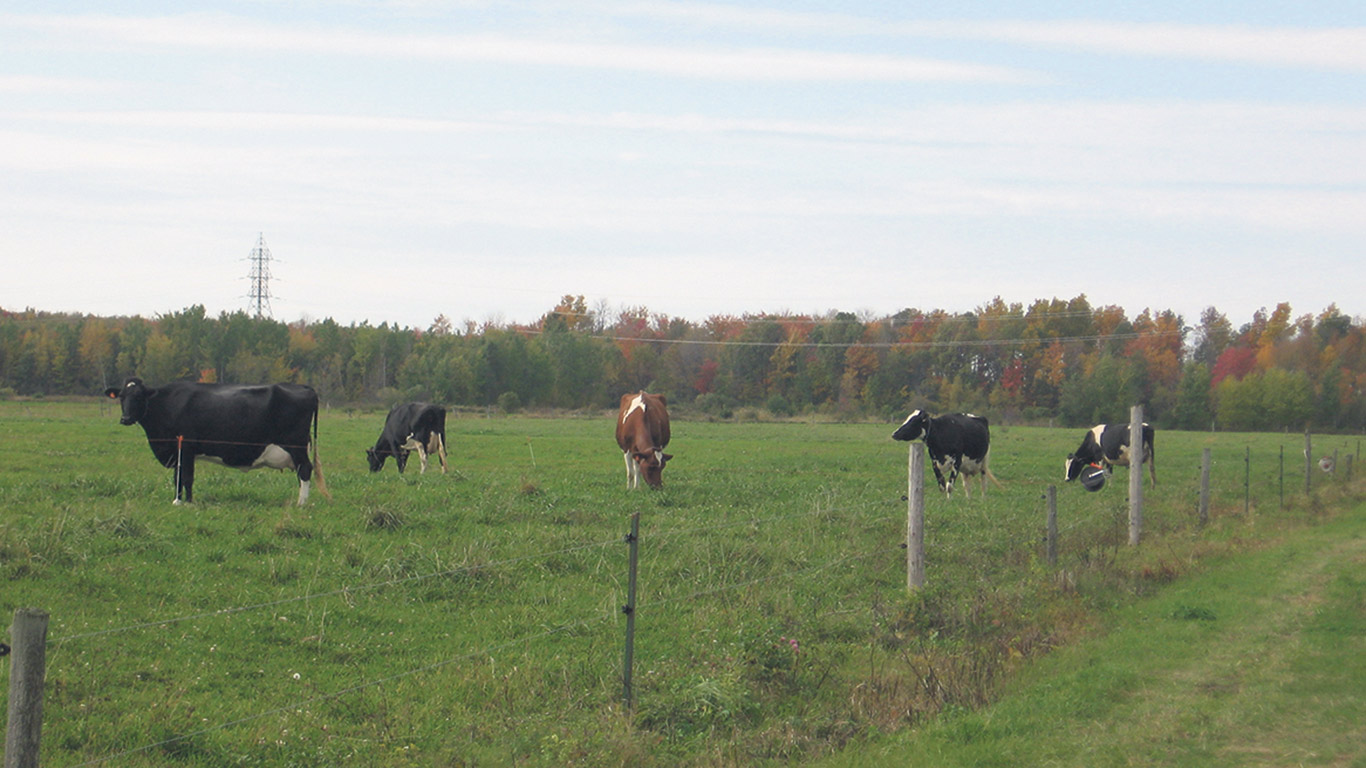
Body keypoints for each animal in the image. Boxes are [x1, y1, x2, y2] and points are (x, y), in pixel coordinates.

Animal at [104, 374, 327, 505]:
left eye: (139, 397)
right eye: (121, 396)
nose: (125, 418)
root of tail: (304, 387)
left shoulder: (186, 447)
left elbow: (186, 477)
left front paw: (187, 502)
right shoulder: (178, 451)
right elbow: (178, 477)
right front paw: (178, 500)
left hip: (295, 445)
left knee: (305, 469)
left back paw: (301, 504)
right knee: (301, 472)